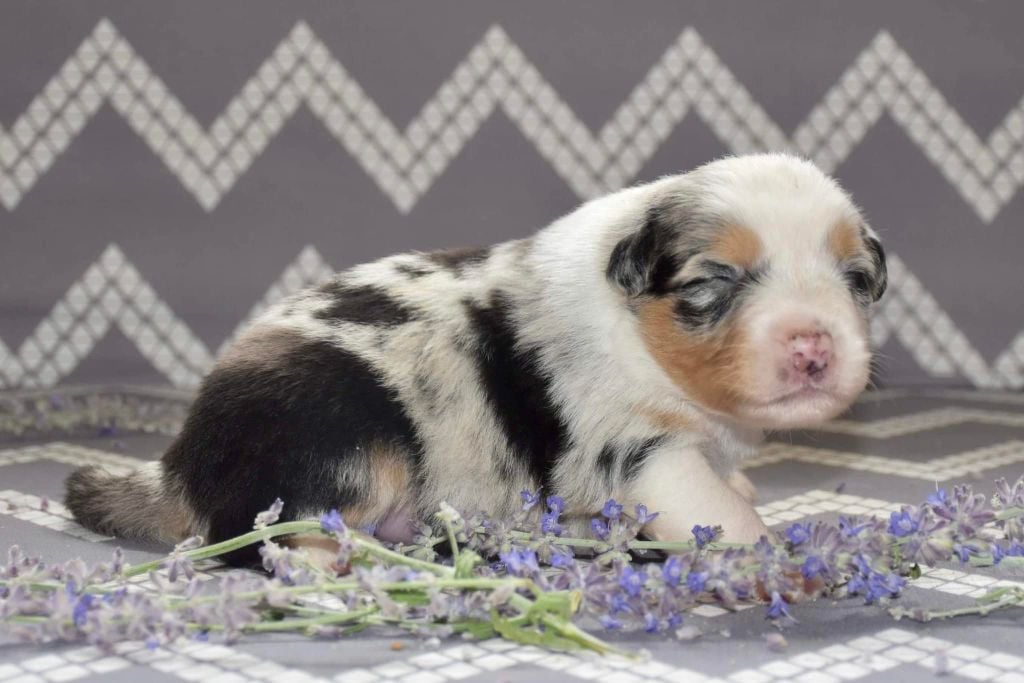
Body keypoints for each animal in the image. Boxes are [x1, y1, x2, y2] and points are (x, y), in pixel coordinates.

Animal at [65, 153, 886, 565]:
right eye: (713, 281)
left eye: (856, 278)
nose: (814, 344)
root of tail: (179, 464)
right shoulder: (642, 450)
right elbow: (714, 508)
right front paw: (777, 559)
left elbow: (728, 483)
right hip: (344, 441)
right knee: (256, 533)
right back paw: (332, 563)